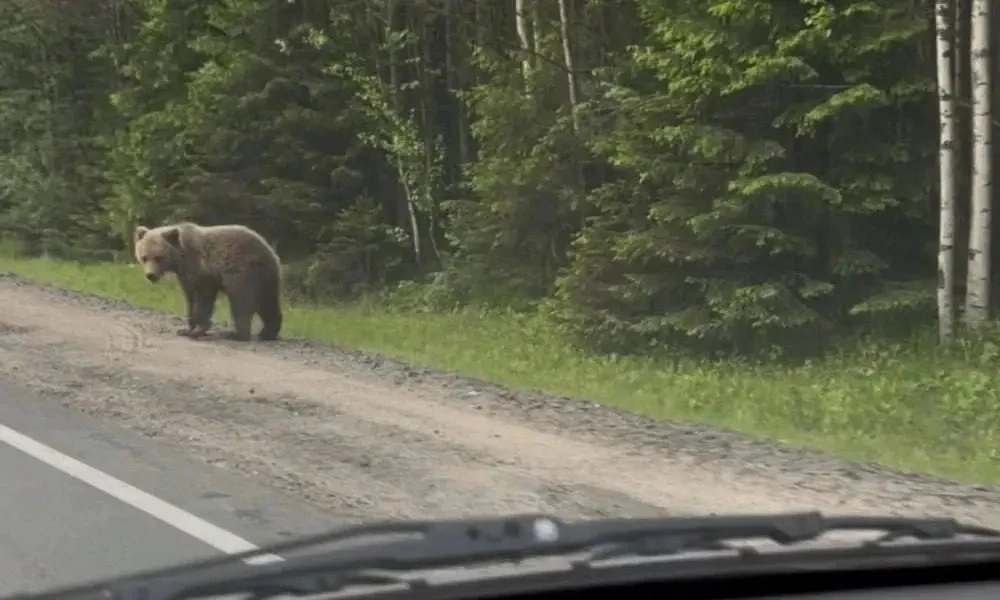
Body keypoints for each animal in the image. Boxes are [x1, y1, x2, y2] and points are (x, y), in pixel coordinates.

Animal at [133, 222, 283, 342]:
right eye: (144, 257)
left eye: (158, 257)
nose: (151, 275)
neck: (180, 259)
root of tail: (271, 252)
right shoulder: (185, 276)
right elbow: (190, 298)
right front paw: (186, 329)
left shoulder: (203, 272)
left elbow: (203, 300)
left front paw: (198, 329)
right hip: (265, 278)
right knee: (267, 303)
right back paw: (267, 333)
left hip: (243, 271)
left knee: (241, 301)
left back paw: (236, 334)